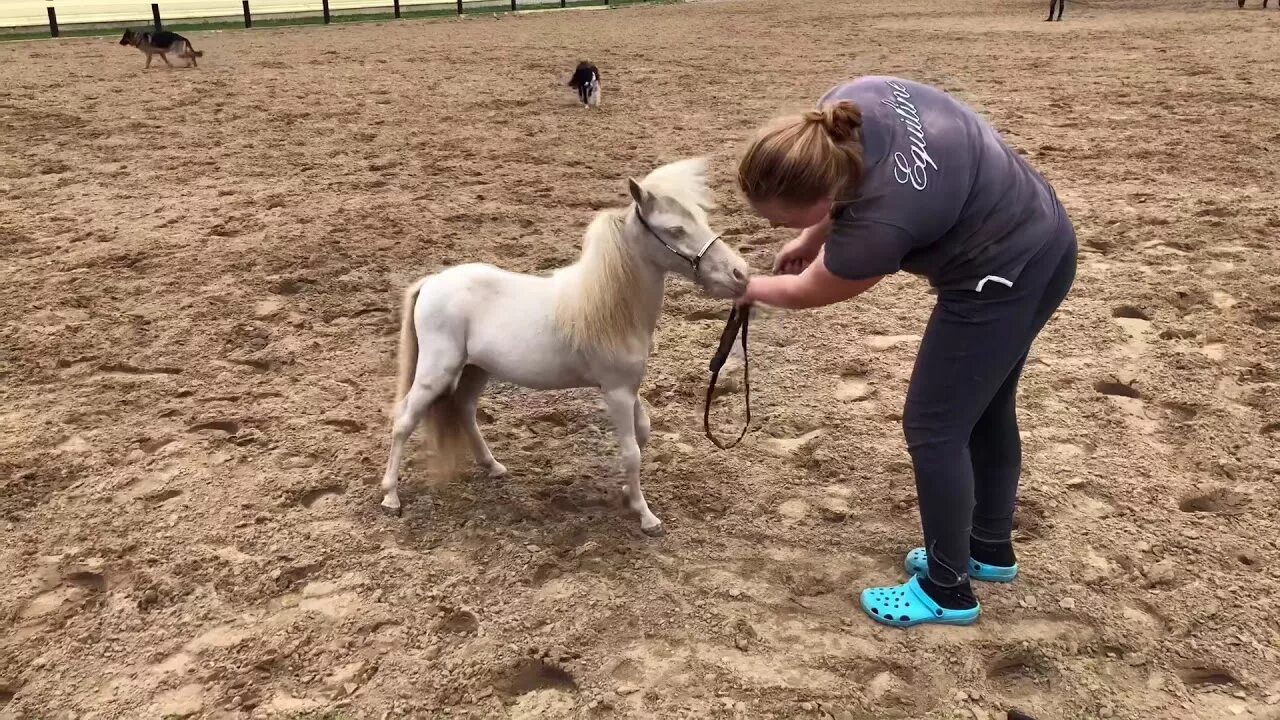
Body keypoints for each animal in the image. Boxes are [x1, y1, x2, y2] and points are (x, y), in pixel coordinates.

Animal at [378, 159, 747, 535]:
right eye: (675, 230)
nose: (740, 273)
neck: (614, 309)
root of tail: (431, 283)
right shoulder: (616, 392)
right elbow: (631, 452)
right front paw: (646, 516)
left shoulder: (630, 388)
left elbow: (642, 435)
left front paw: (627, 493)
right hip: (437, 371)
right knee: (404, 420)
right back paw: (391, 497)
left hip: (475, 369)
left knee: (464, 409)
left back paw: (493, 466)